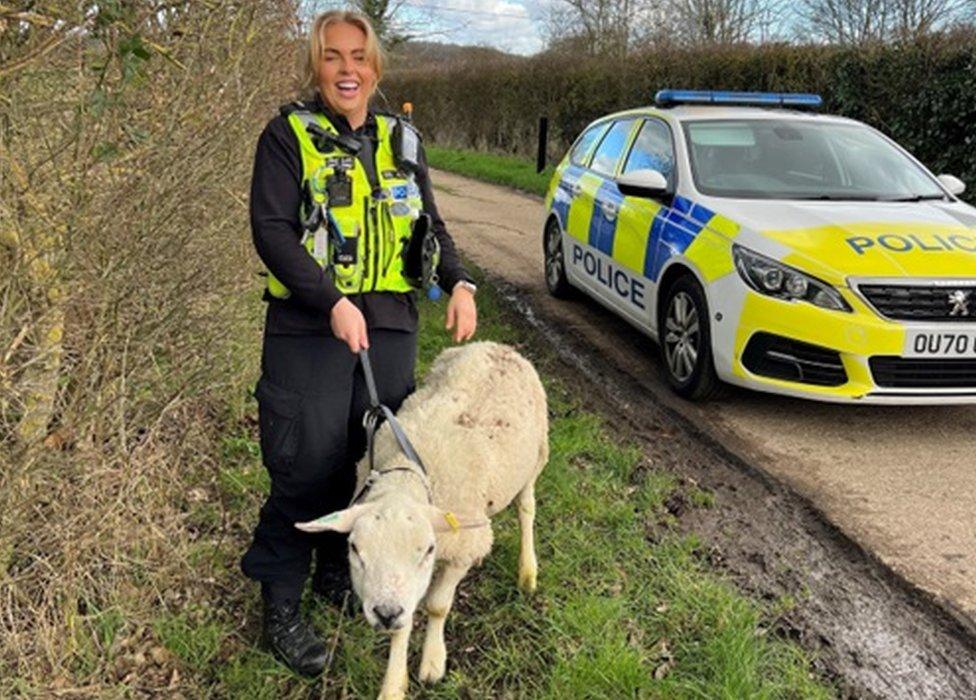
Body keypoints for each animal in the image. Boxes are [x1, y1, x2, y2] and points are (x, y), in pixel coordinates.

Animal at [294, 340, 548, 700]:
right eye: (354, 549)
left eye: (427, 550)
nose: (385, 613)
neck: (409, 475)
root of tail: (497, 345)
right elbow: (405, 621)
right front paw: (393, 685)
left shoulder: (460, 550)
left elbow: (438, 606)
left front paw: (432, 662)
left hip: (536, 458)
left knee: (526, 509)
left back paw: (527, 572)